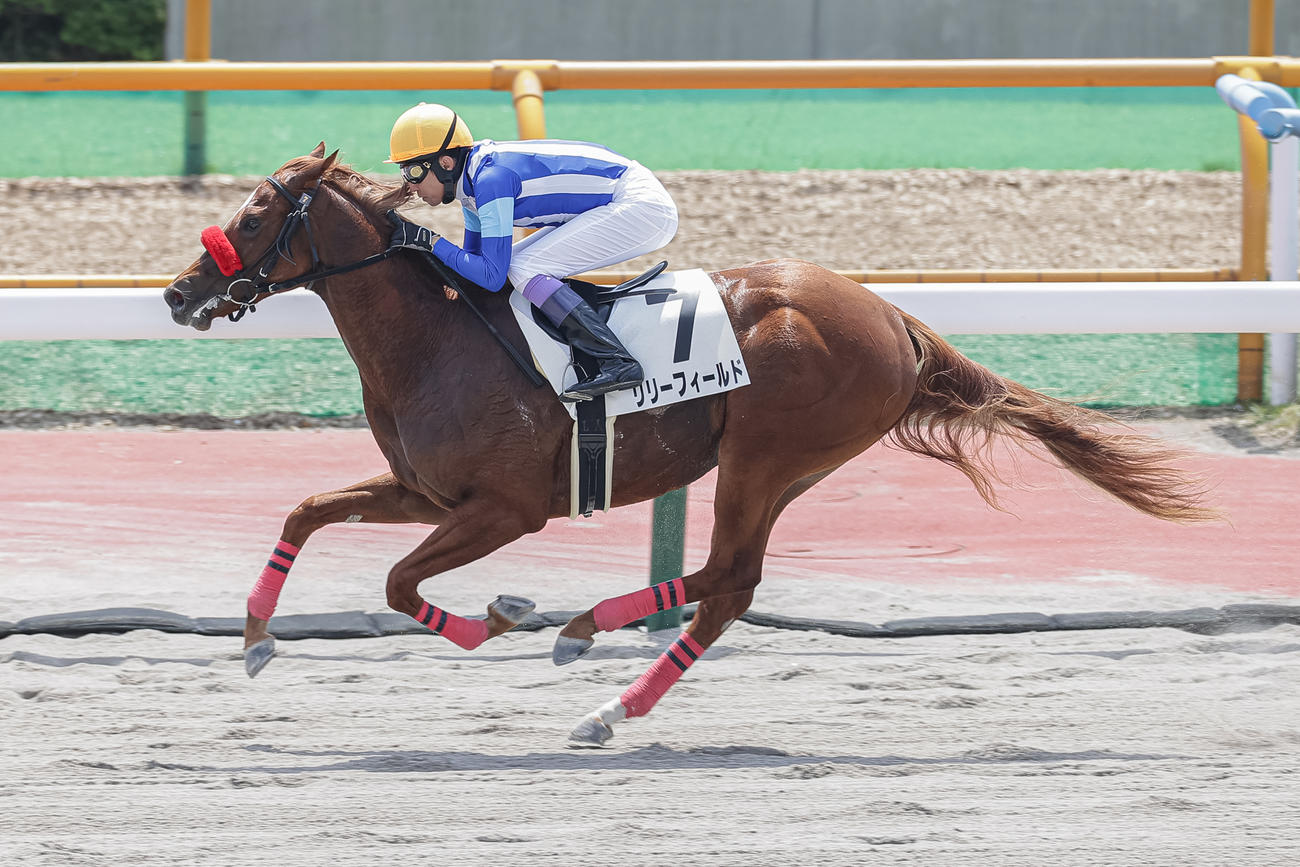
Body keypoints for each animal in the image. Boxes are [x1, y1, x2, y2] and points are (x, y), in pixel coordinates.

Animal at [163, 144, 1216, 746]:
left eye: (256, 213)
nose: (177, 294)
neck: (439, 333)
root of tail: (892, 318)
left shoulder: (505, 507)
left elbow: (394, 583)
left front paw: (502, 613)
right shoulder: (425, 491)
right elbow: (309, 511)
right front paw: (255, 639)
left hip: (764, 455)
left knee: (728, 578)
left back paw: (588, 647)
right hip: (787, 467)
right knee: (727, 586)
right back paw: (604, 690)